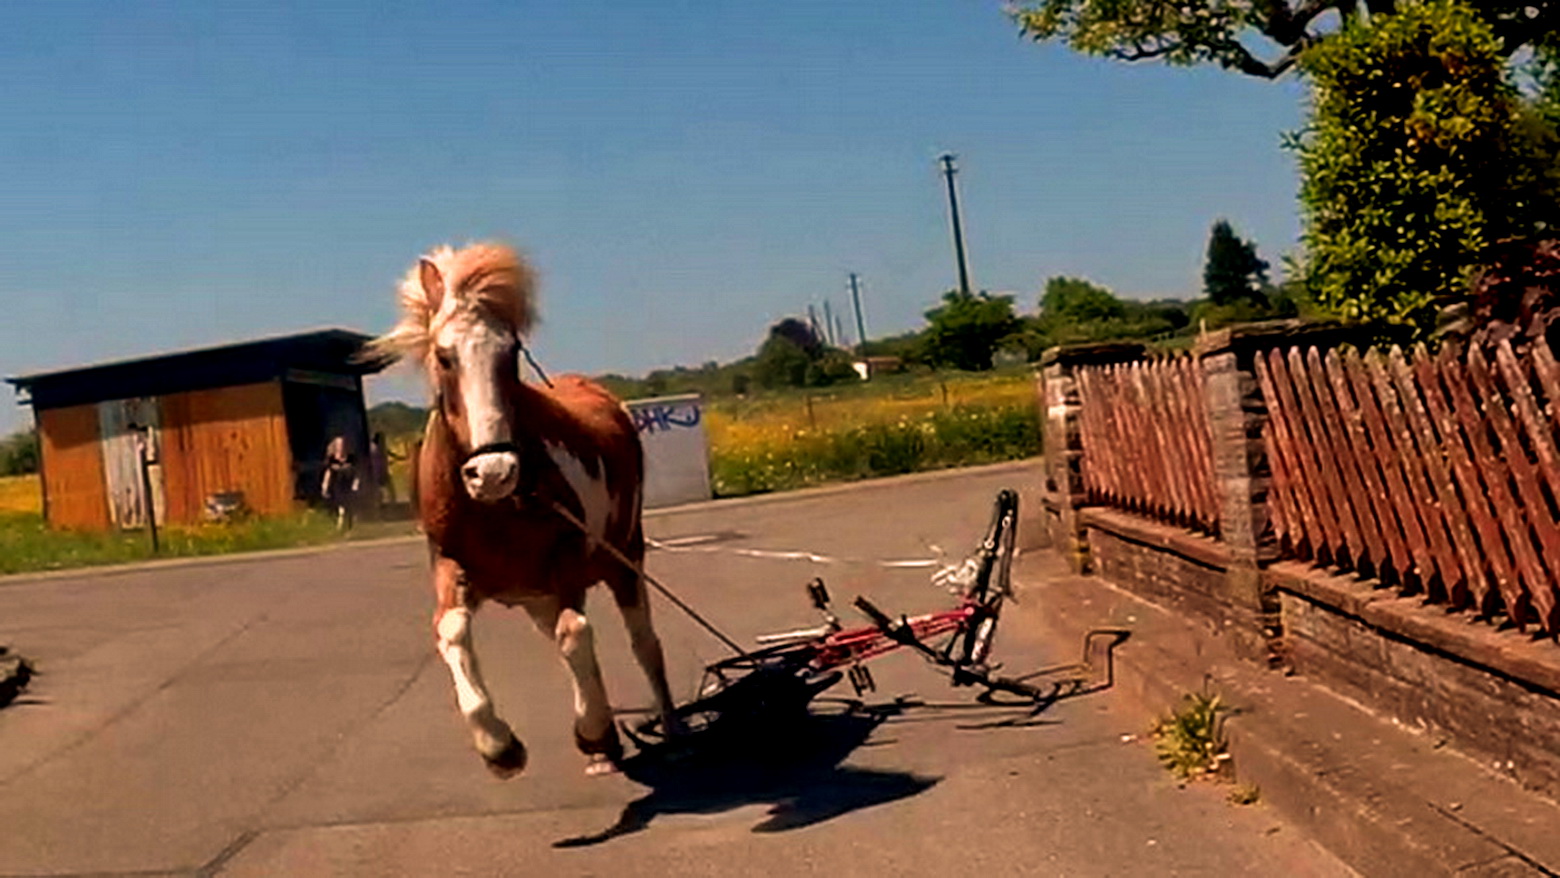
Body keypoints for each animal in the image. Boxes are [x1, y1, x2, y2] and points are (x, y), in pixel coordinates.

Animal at [371, 240, 683, 776]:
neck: (495, 511)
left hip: (625, 558)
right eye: (444, 356)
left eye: (510, 351)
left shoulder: (568, 559)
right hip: (538, 594)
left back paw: (663, 726)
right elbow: (452, 633)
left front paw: (592, 731)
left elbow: (576, 635)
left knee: (644, 645)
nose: (494, 472)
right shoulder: (453, 566)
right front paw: (499, 747)